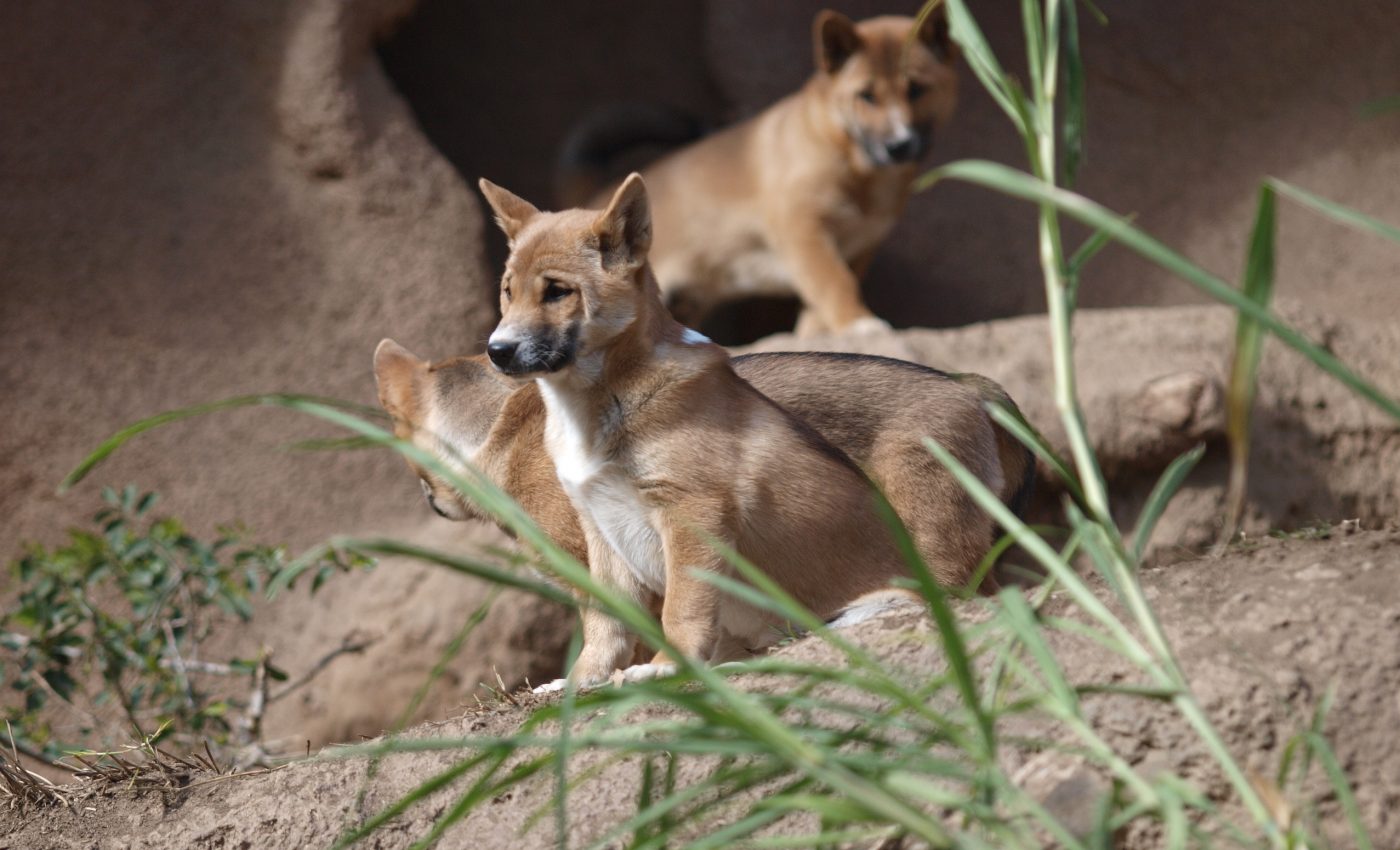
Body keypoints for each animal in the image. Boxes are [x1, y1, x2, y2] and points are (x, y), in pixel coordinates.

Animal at [453, 172, 1024, 691]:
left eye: (557, 292)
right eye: (508, 292)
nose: (497, 351)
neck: (594, 407)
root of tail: (976, 393)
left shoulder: (694, 514)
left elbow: (679, 611)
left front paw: (664, 669)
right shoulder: (599, 528)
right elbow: (605, 625)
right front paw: (580, 683)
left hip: (891, 593)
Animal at [560, 9, 963, 337]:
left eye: (916, 89)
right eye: (866, 96)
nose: (900, 144)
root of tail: (597, 196)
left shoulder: (861, 247)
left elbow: (822, 300)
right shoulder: (802, 230)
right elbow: (835, 284)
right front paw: (857, 323)